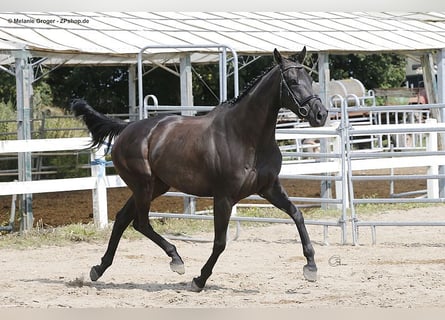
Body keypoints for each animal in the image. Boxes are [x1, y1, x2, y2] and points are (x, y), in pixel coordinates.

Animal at [73, 48, 328, 292]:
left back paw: (99, 269)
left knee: (123, 218)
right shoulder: (224, 197)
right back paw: (176, 260)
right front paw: (200, 280)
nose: (320, 114)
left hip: (155, 186)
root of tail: (127, 128)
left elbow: (297, 215)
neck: (246, 137)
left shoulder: (269, 188)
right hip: (143, 185)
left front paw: (311, 267)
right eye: (292, 81)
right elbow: (220, 242)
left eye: (310, 78)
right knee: (140, 222)